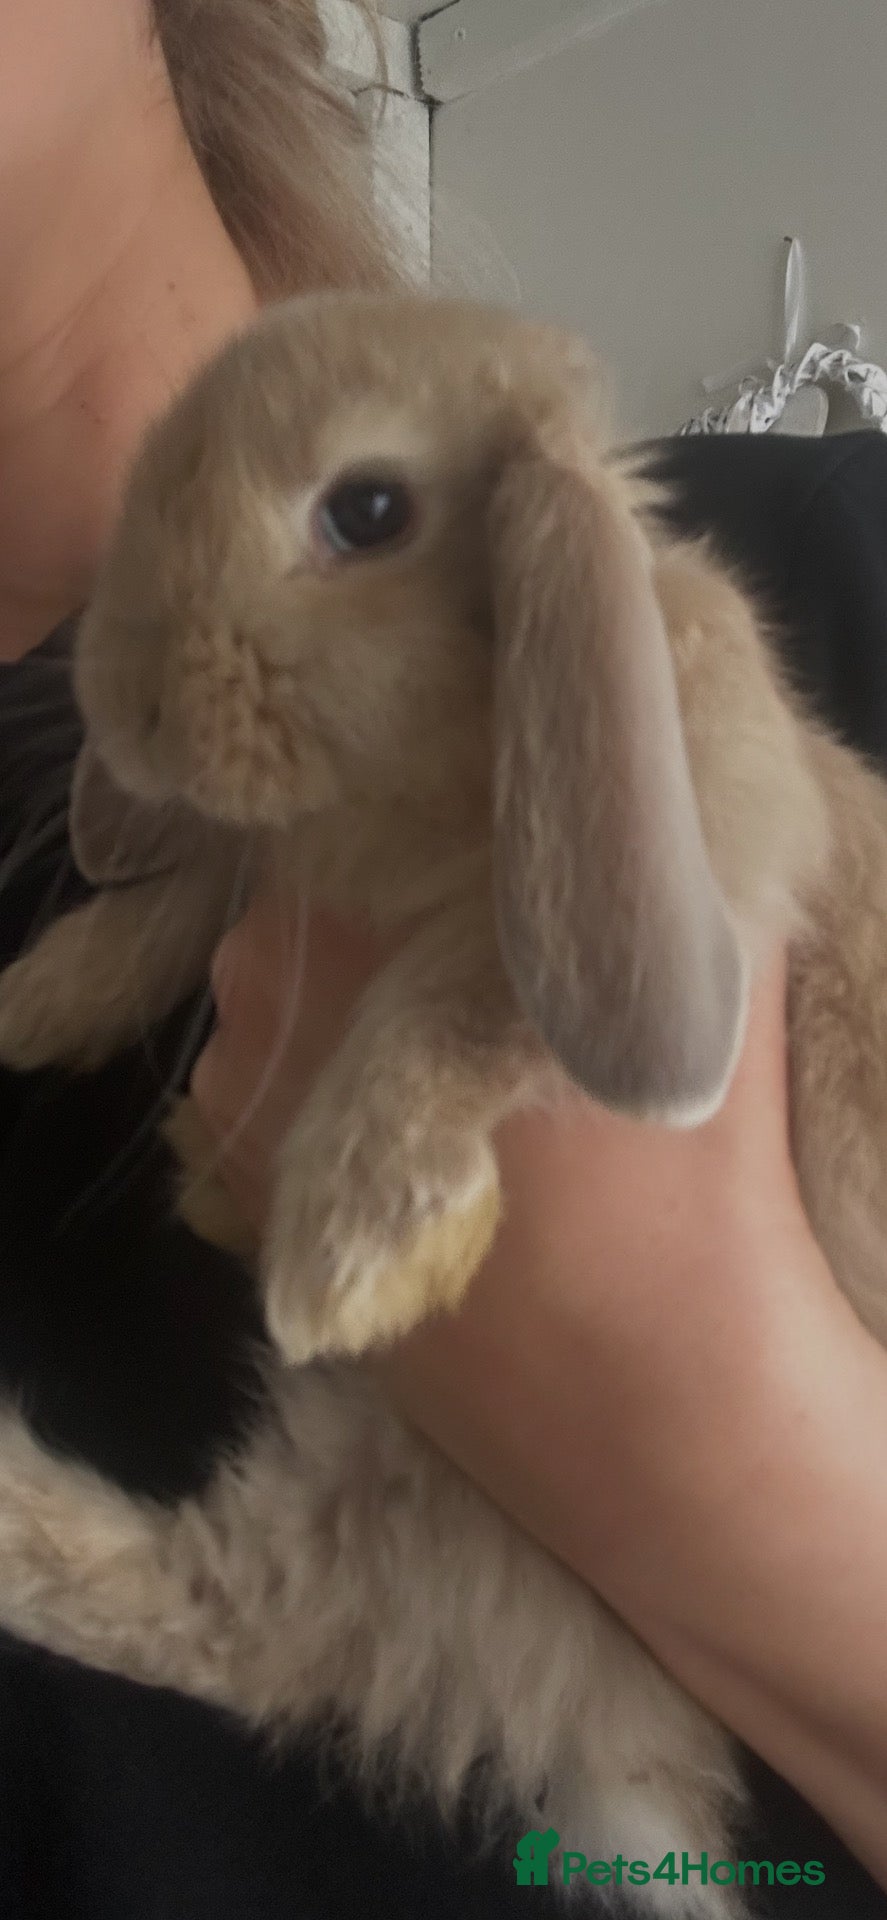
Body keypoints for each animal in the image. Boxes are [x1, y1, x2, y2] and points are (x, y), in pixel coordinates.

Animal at [0, 289, 884, 1914]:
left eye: (365, 512)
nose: (125, 703)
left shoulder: (670, 890)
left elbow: (458, 990)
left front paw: (345, 1248)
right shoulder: (281, 866)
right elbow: (207, 881)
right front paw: (49, 995)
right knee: (206, 1615)